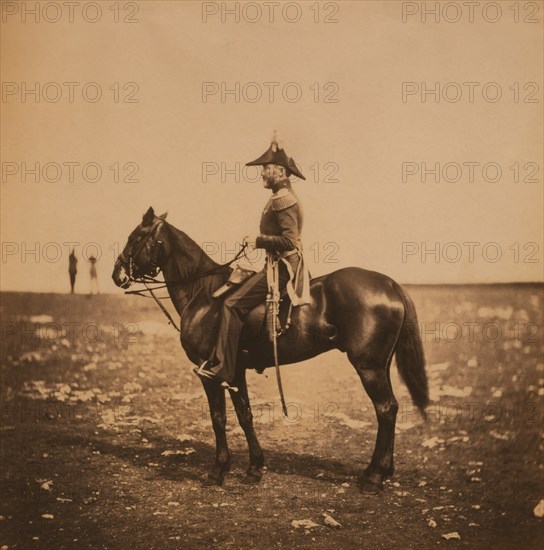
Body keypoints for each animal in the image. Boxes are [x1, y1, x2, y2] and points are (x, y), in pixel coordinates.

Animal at [112, 209, 430, 494]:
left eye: (135, 237)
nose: (117, 274)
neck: (203, 294)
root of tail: (389, 283)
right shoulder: (234, 372)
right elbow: (245, 415)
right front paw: (254, 468)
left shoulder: (211, 373)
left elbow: (218, 418)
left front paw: (218, 471)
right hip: (380, 365)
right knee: (389, 409)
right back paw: (379, 471)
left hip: (369, 368)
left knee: (385, 409)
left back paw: (374, 478)